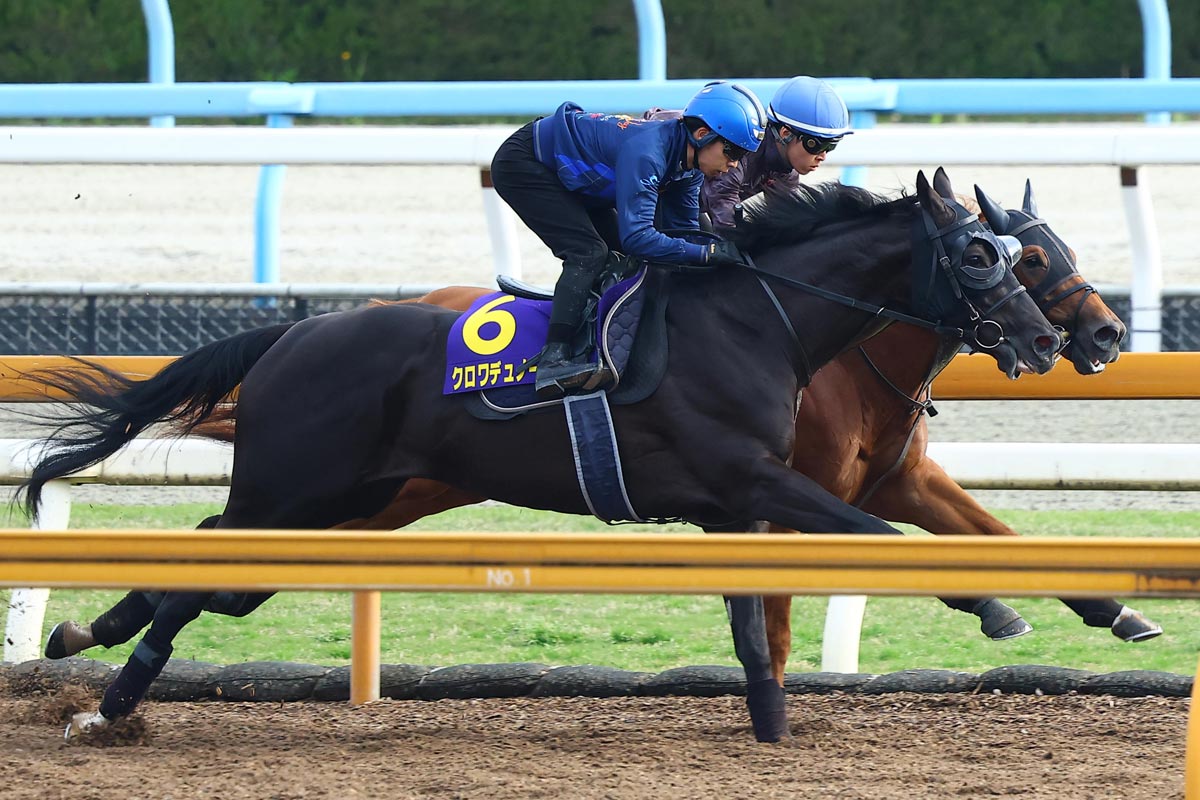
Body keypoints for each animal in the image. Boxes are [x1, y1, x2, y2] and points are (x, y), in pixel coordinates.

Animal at [22, 169, 1062, 743]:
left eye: (1017, 256)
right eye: (984, 257)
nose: (1048, 339)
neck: (753, 320)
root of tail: (292, 333)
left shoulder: (736, 505)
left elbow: (752, 621)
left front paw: (770, 726)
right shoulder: (757, 478)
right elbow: (874, 531)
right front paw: (995, 605)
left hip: (336, 501)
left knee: (212, 561)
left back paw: (85, 639)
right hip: (296, 490)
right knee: (204, 570)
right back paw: (108, 705)